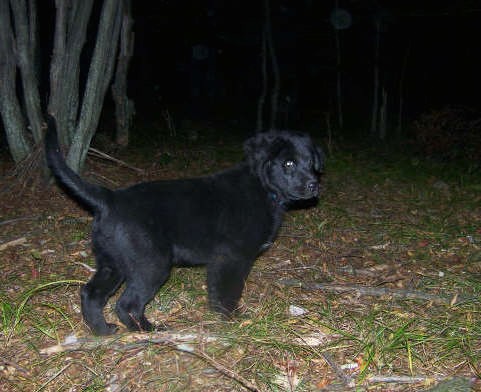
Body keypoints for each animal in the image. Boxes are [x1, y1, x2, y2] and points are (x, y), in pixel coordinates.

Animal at [45, 118, 322, 334]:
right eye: (288, 163)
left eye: (310, 162)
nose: (313, 185)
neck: (264, 188)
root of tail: (110, 198)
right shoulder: (233, 257)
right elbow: (228, 290)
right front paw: (233, 318)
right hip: (151, 265)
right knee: (126, 304)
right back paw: (147, 329)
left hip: (113, 262)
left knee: (91, 294)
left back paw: (102, 331)